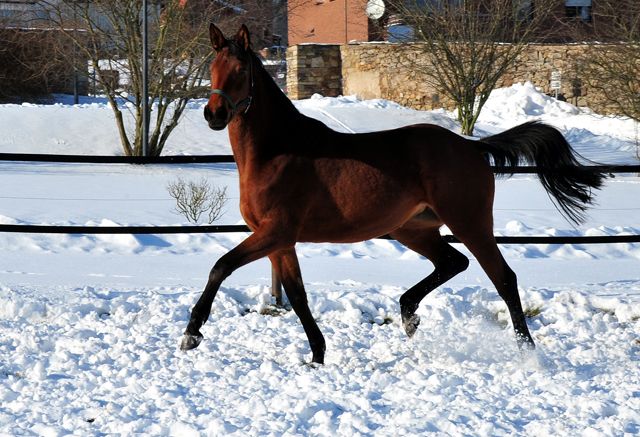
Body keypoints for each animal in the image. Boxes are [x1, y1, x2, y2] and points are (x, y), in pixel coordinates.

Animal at [181, 24, 604, 364]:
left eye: (240, 71)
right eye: (212, 69)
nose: (214, 114)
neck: (277, 151)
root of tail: (473, 146)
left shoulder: (276, 232)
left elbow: (220, 266)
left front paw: (192, 333)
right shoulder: (281, 241)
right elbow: (297, 297)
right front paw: (318, 356)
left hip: (469, 222)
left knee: (503, 278)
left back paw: (527, 353)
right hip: (412, 228)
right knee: (453, 262)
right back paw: (408, 314)